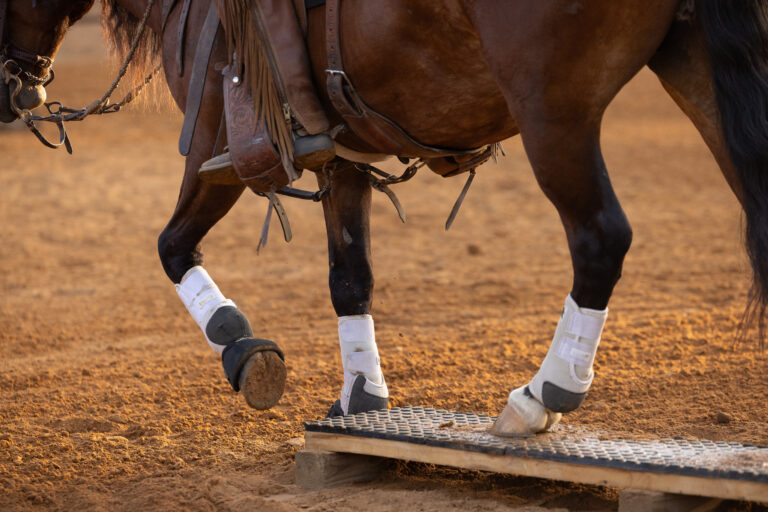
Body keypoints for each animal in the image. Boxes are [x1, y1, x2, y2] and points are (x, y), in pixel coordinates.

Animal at [3, 0, 767, 436]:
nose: (16, 86)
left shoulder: (217, 145)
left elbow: (172, 245)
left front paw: (243, 351)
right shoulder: (342, 158)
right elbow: (350, 278)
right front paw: (361, 393)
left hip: (554, 111)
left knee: (600, 239)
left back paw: (540, 395)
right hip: (693, 64)